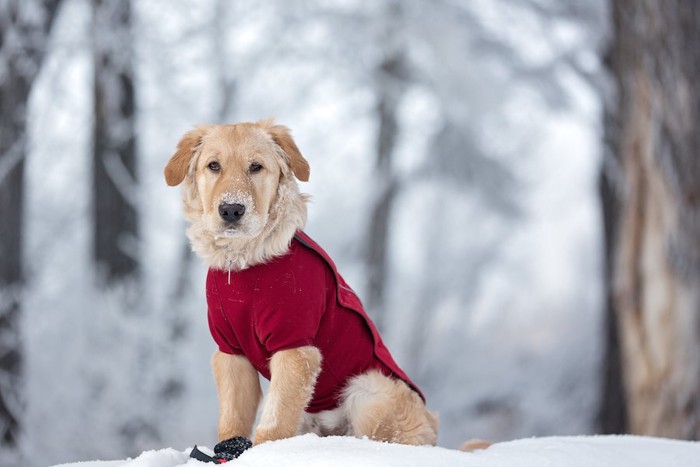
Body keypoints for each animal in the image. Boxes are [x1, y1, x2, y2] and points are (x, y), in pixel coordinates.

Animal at [164, 119, 438, 458]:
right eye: (213, 166)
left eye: (256, 167)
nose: (231, 210)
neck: (246, 262)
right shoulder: (231, 351)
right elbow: (232, 418)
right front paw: (230, 450)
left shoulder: (294, 345)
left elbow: (275, 423)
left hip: (368, 391)